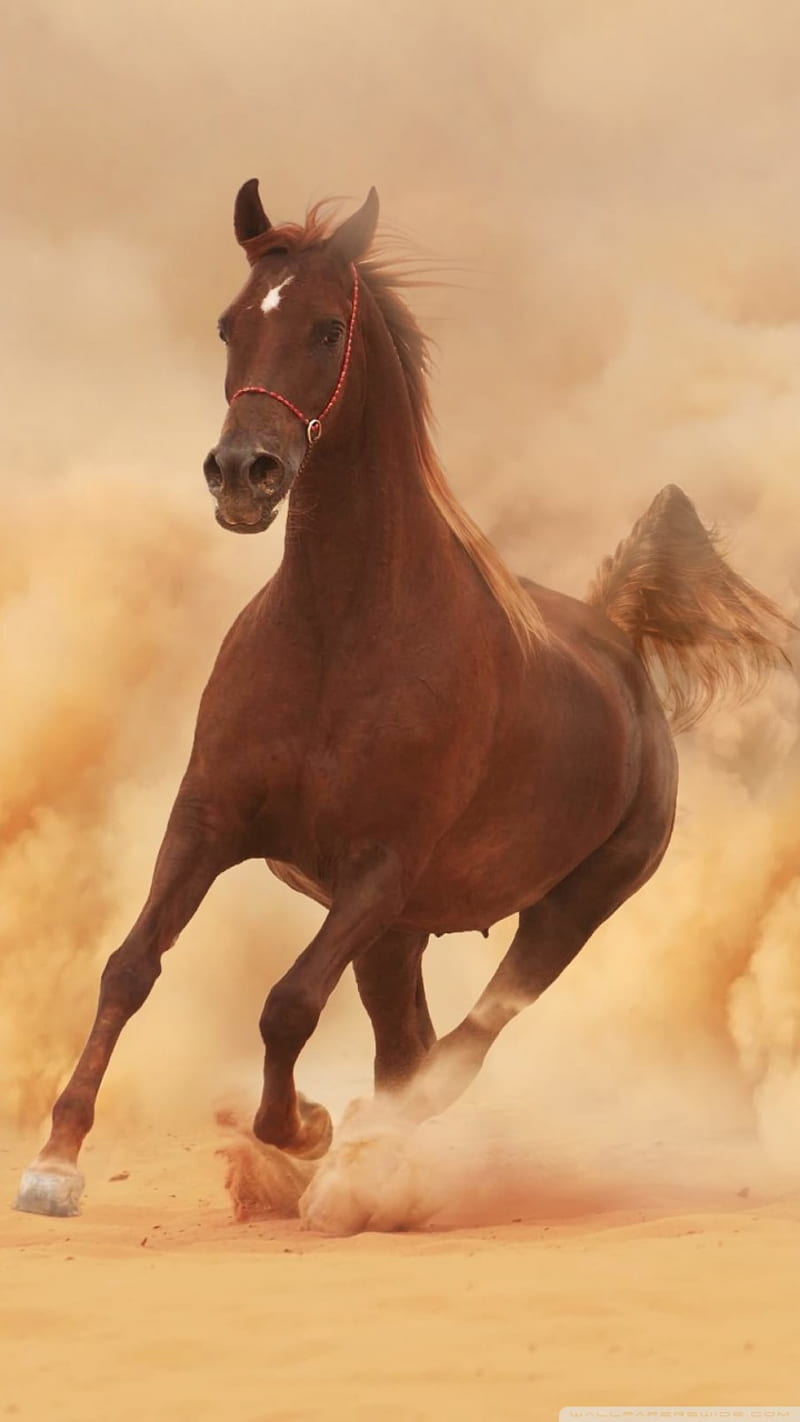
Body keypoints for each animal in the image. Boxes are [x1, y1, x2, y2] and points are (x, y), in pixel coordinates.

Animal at [16, 181, 792, 1220]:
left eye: (327, 328)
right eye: (230, 323)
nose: (243, 474)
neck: (338, 634)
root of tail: (618, 639)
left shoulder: (378, 867)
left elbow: (288, 1003)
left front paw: (304, 1128)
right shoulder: (208, 821)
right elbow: (130, 966)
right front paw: (56, 1162)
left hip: (568, 908)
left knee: (459, 1050)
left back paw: (364, 1157)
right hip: (402, 935)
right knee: (408, 1044)